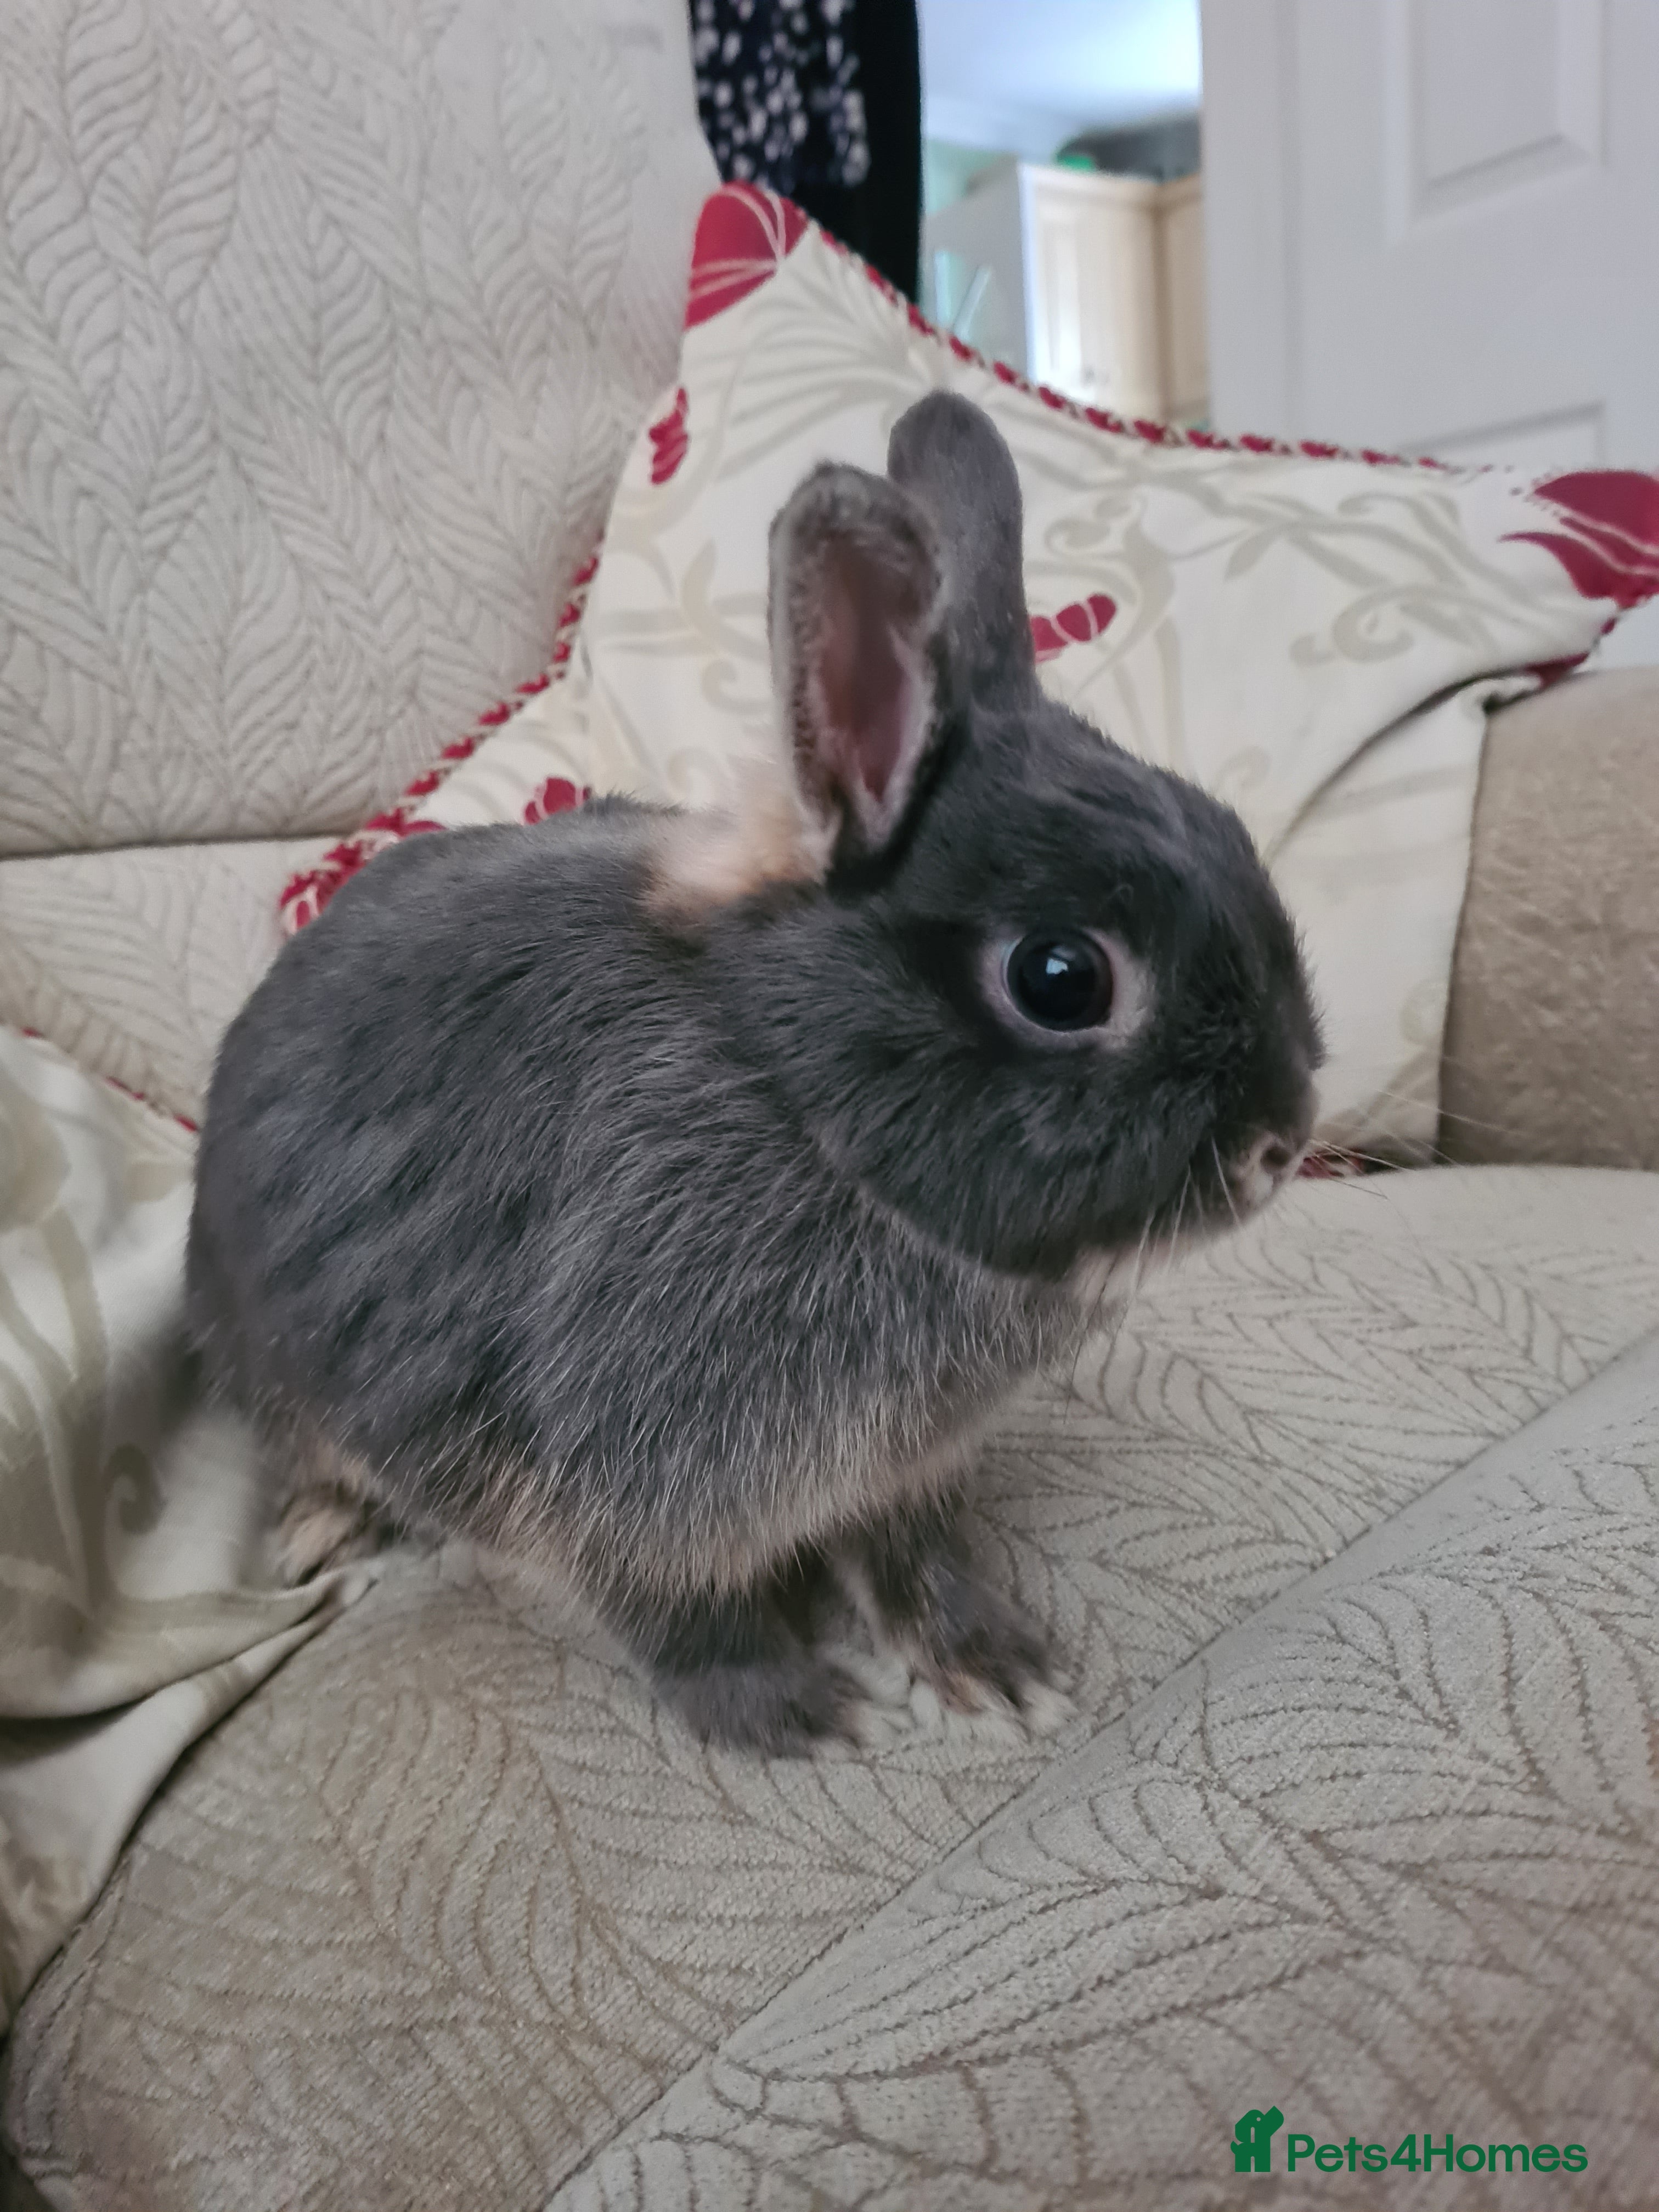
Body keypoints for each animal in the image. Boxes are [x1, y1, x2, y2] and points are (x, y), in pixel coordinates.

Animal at [186, 391, 1322, 1756]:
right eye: (1062, 980)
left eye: (1231, 831)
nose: (1285, 1139)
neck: (789, 1094)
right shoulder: (620, 1476)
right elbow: (678, 1619)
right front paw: (799, 1714)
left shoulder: (894, 1473)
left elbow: (916, 1559)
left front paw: (992, 1666)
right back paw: (326, 1528)